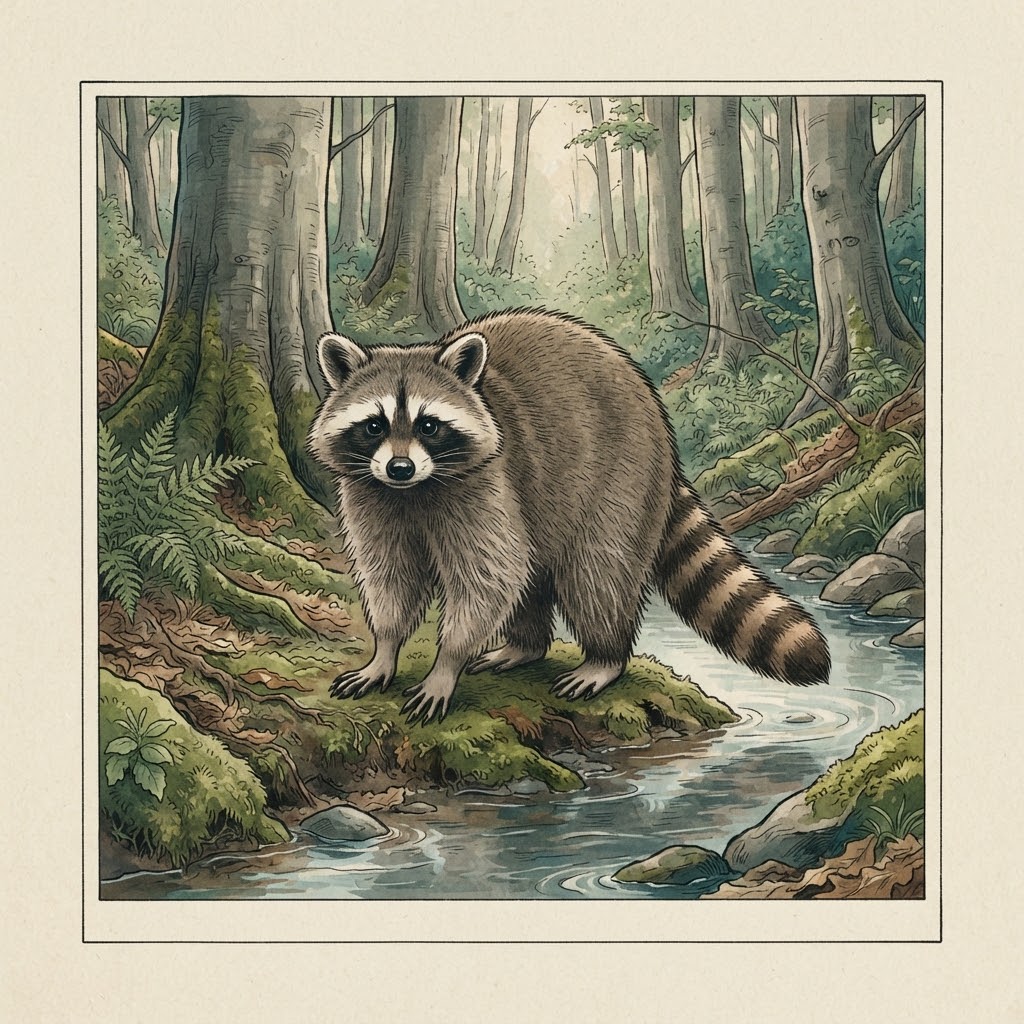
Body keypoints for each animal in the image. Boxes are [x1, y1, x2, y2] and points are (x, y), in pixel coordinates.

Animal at [308, 309, 829, 724]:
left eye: (429, 425)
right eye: (374, 425)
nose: (400, 467)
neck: (414, 491)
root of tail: (657, 418)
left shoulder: (487, 483)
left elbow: (489, 578)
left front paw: (446, 663)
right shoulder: (372, 496)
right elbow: (391, 576)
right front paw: (385, 649)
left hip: (618, 476)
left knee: (597, 575)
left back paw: (605, 657)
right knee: (534, 573)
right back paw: (525, 644)